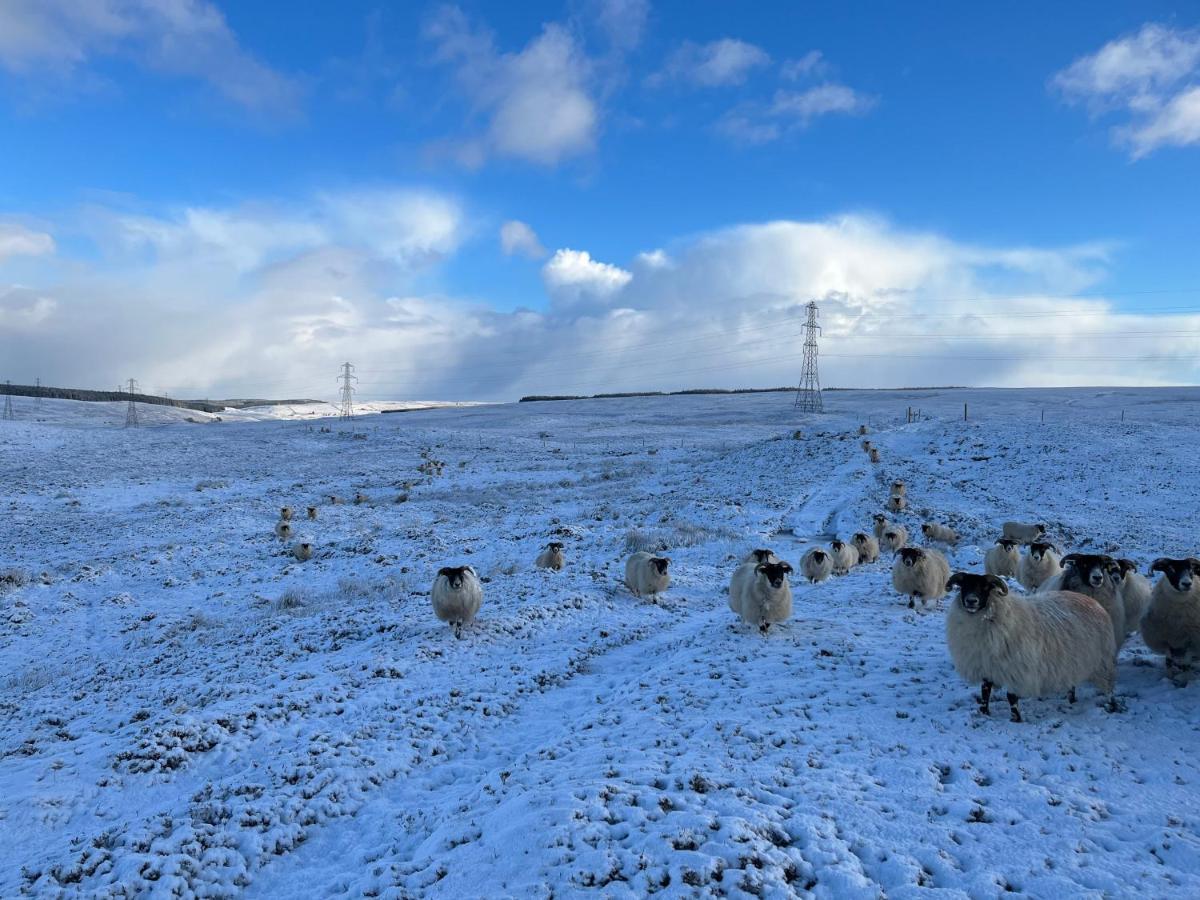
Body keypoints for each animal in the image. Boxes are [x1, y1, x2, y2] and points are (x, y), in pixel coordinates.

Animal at [945, 573, 1113, 724]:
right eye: (963, 586)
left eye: (985, 587)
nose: (971, 601)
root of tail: (1092, 601)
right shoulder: (986, 665)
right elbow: (985, 691)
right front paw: (984, 712)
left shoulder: (1016, 669)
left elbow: (1011, 697)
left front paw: (1016, 719)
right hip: (1073, 659)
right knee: (1072, 682)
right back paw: (1071, 700)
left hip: (1102, 660)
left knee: (1108, 684)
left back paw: (1110, 703)